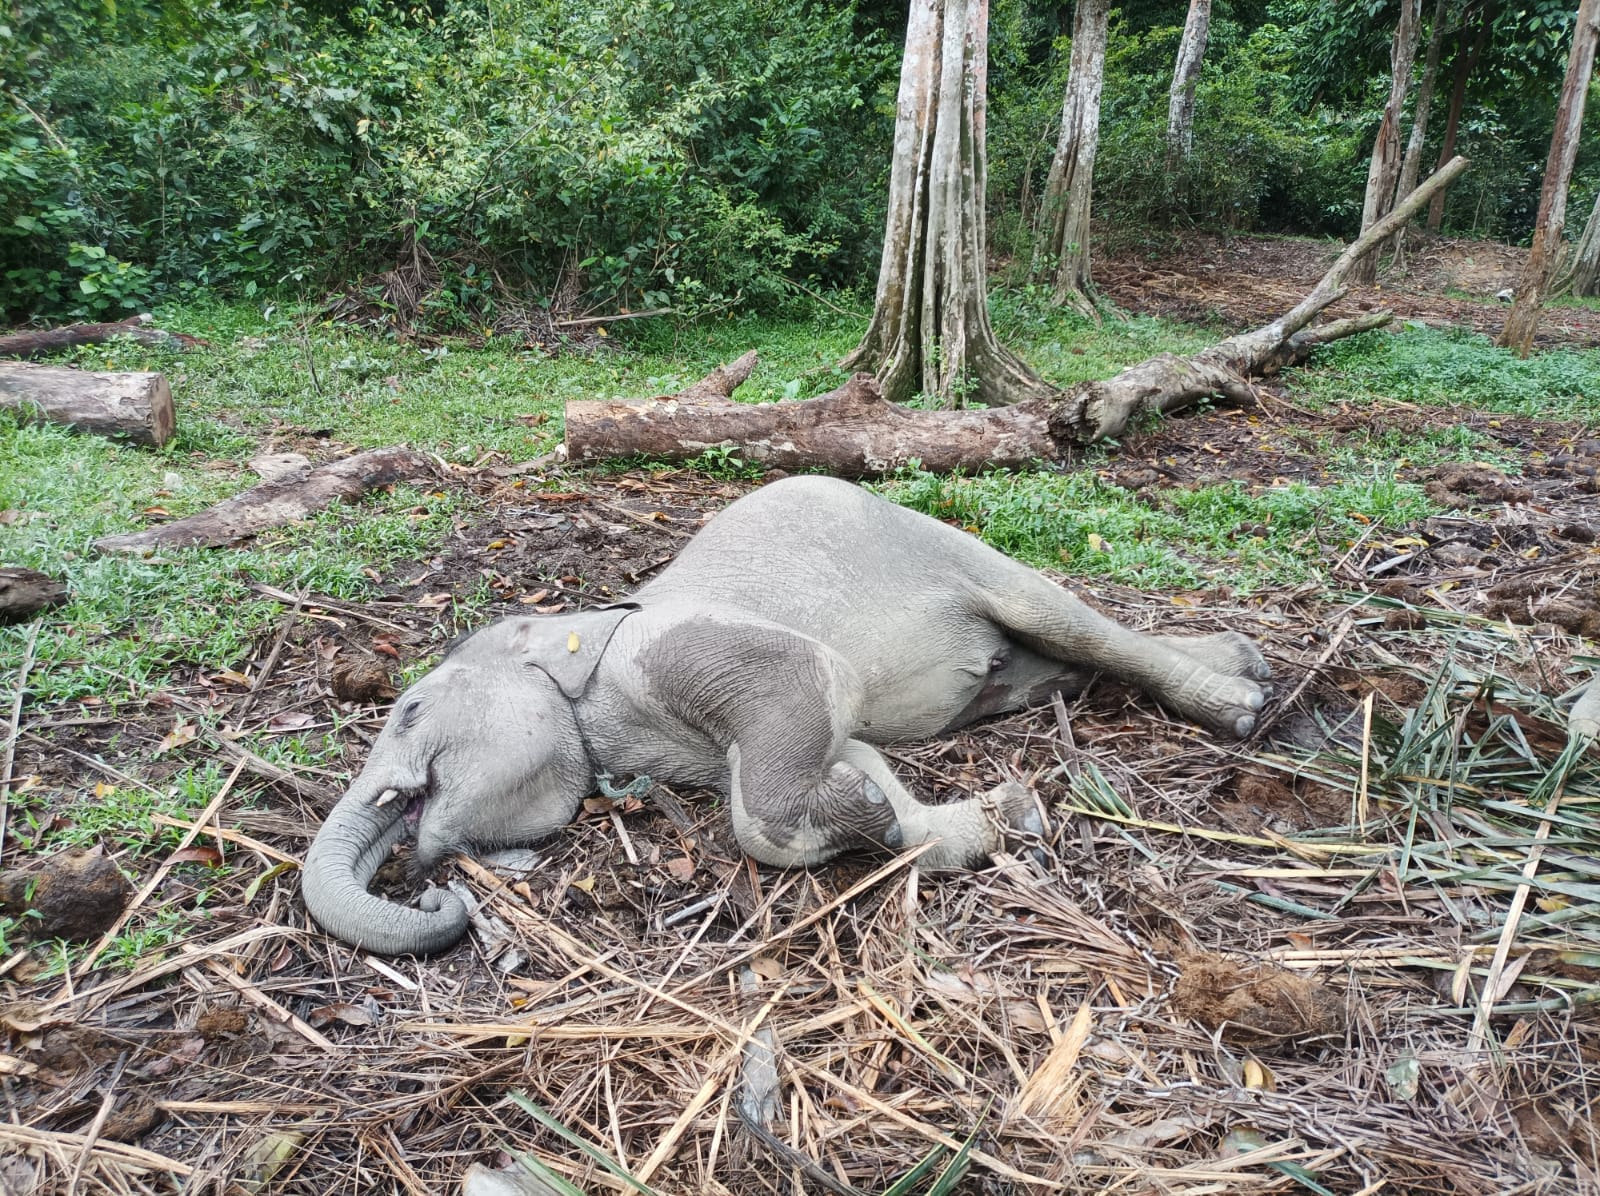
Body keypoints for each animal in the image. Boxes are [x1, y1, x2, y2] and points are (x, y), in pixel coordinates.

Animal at [302, 473, 1273, 952]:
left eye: (410, 710)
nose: (441, 897)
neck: (580, 625)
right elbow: (854, 754)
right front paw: (965, 815)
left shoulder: (691, 646)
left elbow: (806, 700)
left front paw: (878, 811)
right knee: (1058, 664)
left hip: (951, 547)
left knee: (1068, 619)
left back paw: (1243, 703)